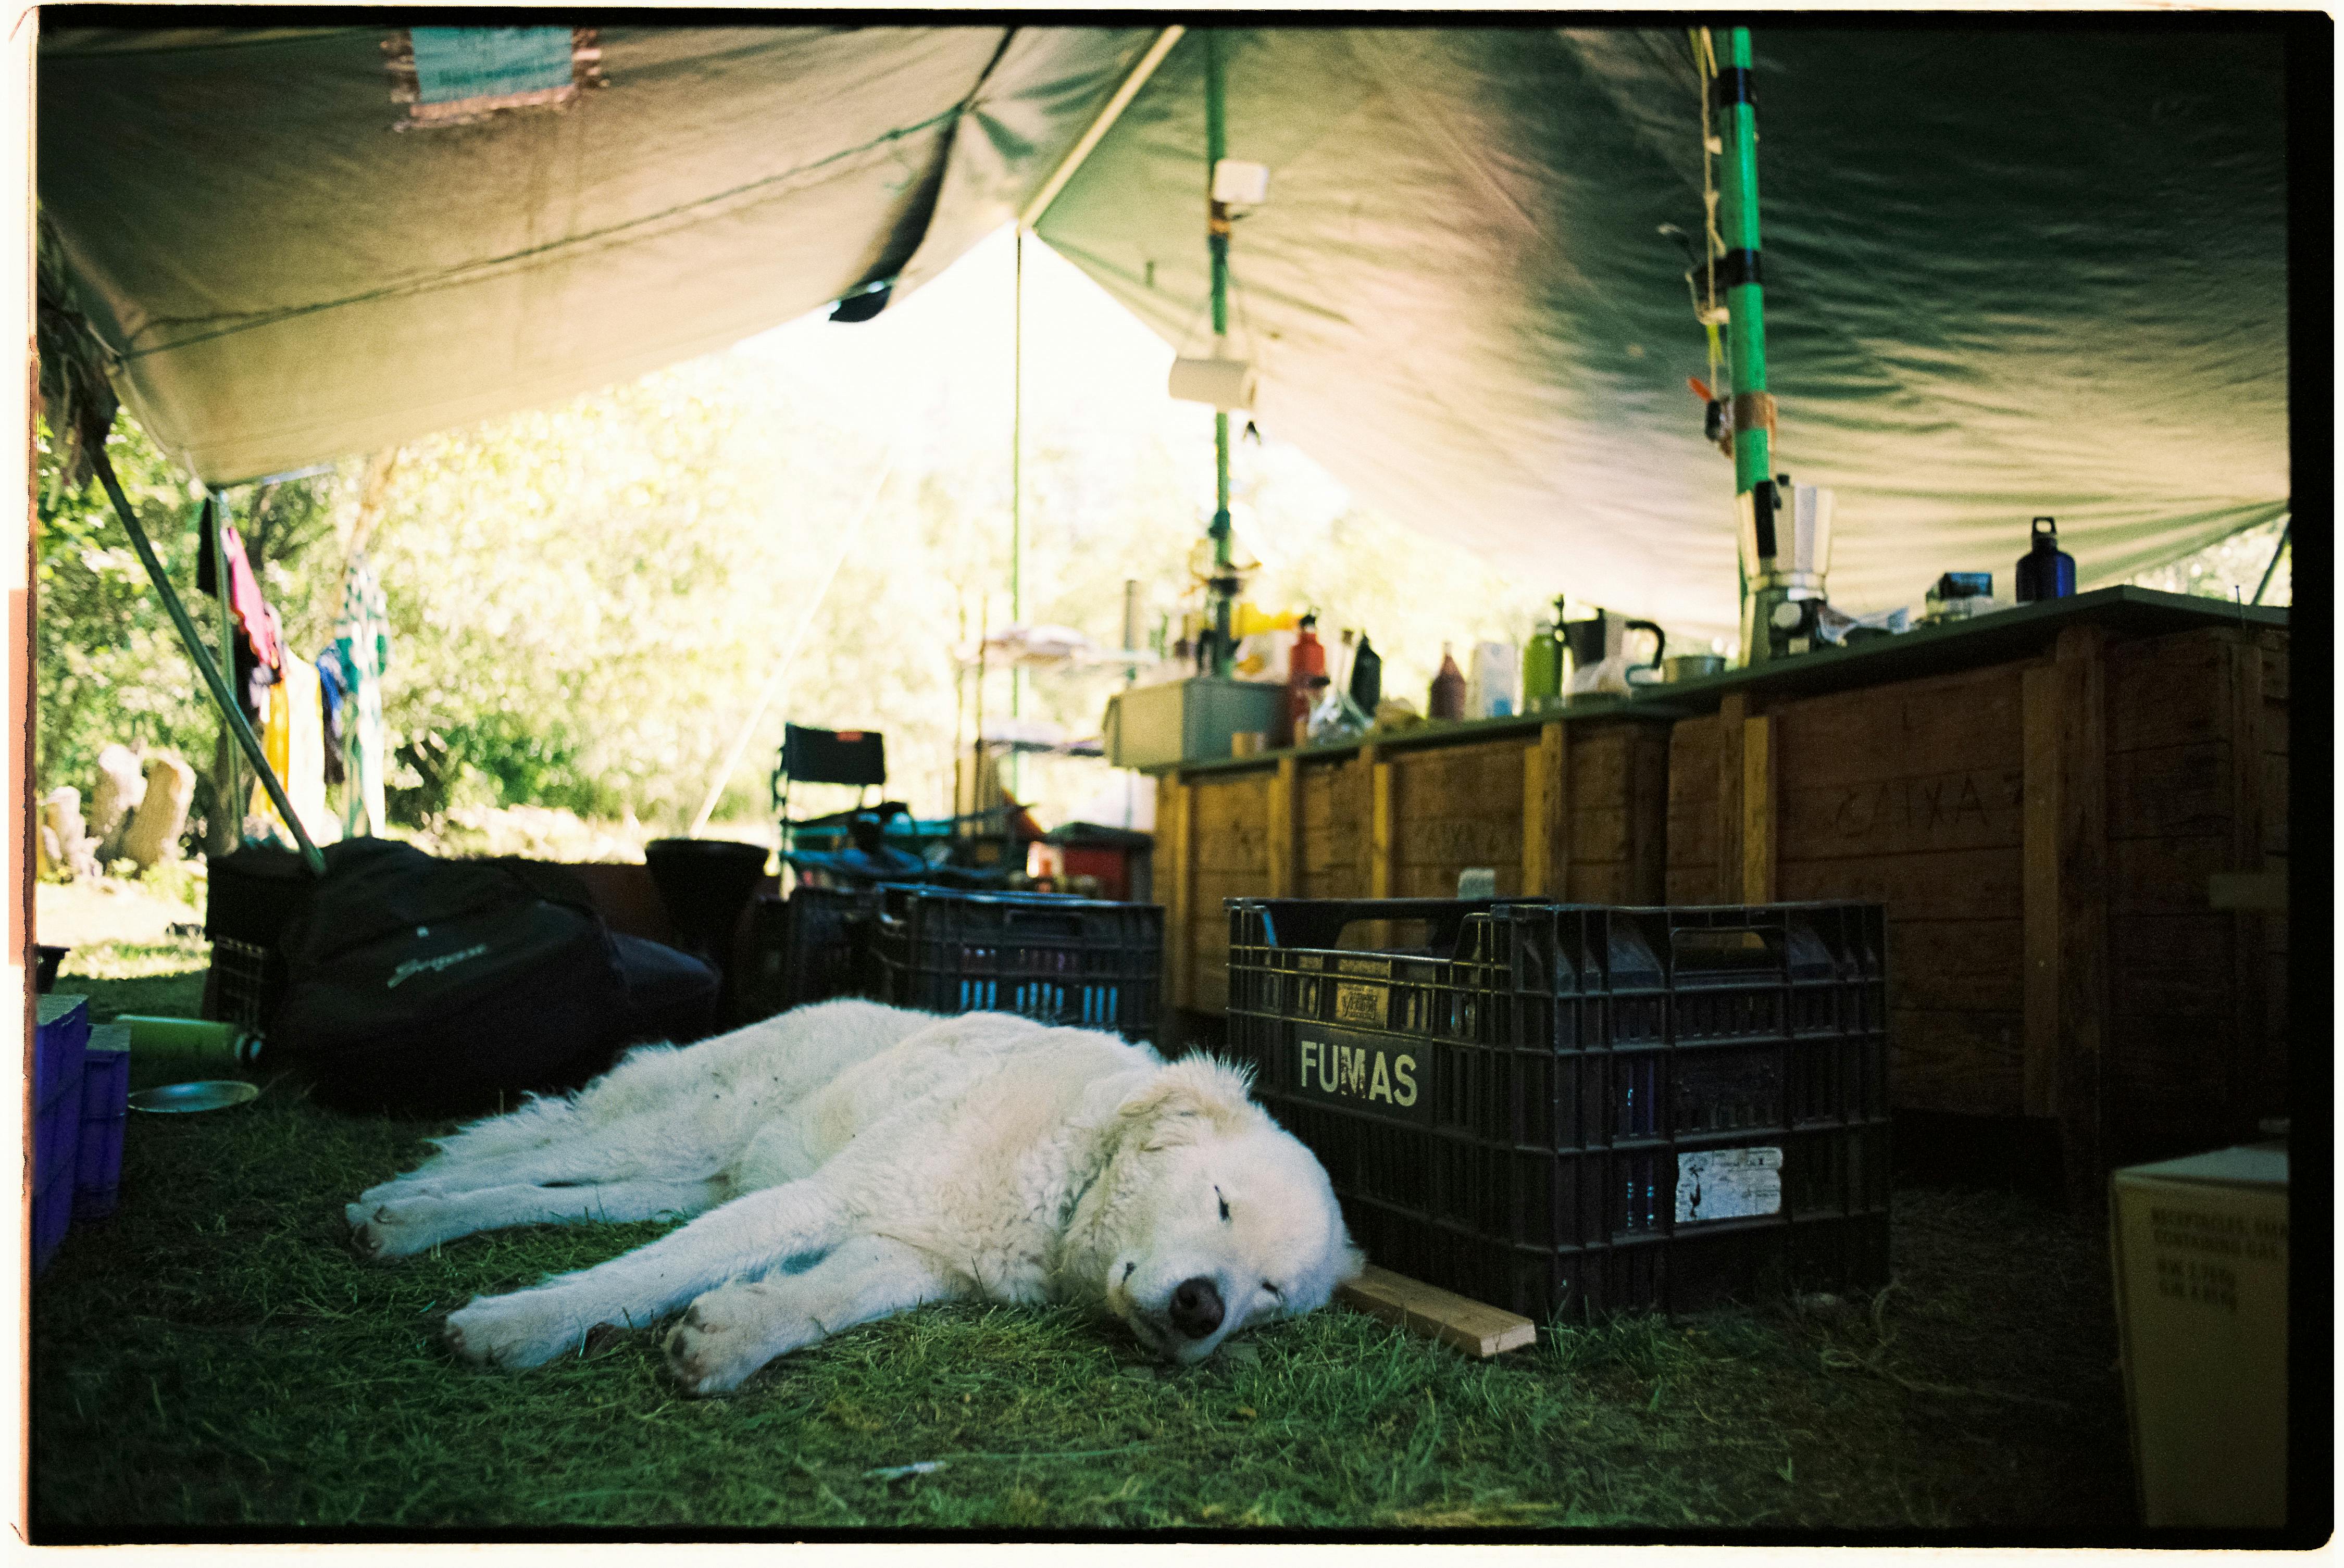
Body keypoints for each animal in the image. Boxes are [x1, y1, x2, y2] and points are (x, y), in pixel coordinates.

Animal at [342, 998, 1369, 1387]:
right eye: (1219, 1200)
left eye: (1270, 1294)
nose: (1202, 1309)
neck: (1068, 1180)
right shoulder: (831, 1198)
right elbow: (641, 1278)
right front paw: (517, 1326)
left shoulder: (911, 1255)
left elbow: (822, 1300)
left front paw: (735, 1334)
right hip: (686, 1127)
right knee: (536, 1137)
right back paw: (402, 1203)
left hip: (681, 1179)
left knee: (553, 1188)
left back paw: (415, 1212)